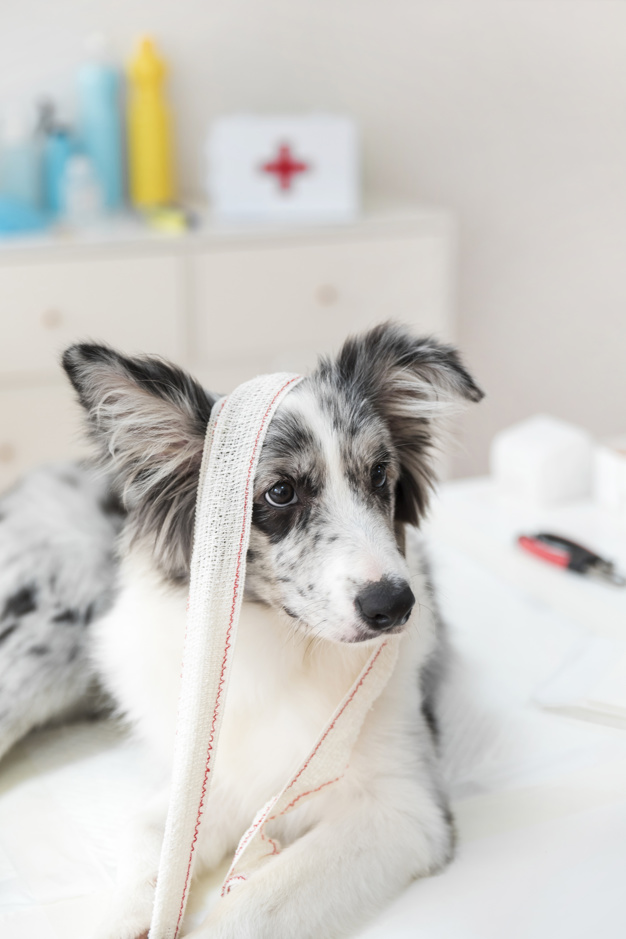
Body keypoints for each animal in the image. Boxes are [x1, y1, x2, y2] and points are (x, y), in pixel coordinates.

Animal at [0, 324, 480, 939]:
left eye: (379, 475)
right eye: (280, 493)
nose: (395, 606)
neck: (283, 647)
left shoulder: (402, 807)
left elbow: (253, 905)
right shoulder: (206, 777)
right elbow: (151, 845)